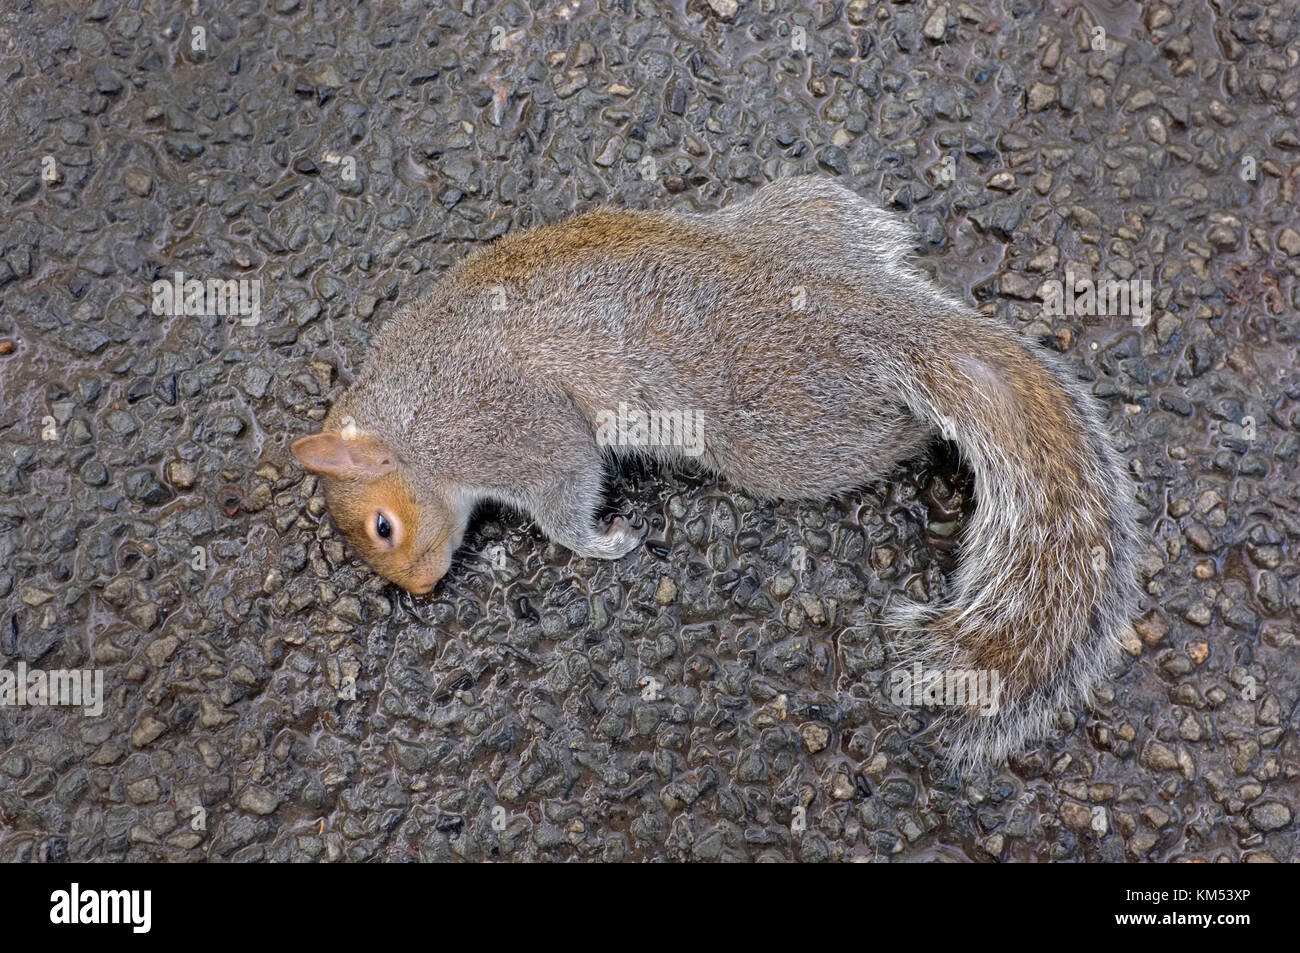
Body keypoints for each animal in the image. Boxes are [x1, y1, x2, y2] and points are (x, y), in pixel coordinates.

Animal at [291, 177, 1139, 770]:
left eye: (383, 526)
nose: (423, 587)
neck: (416, 421)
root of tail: (873, 311)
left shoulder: (511, 426)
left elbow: (566, 486)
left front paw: (602, 541)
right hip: (812, 208)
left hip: (787, 432)